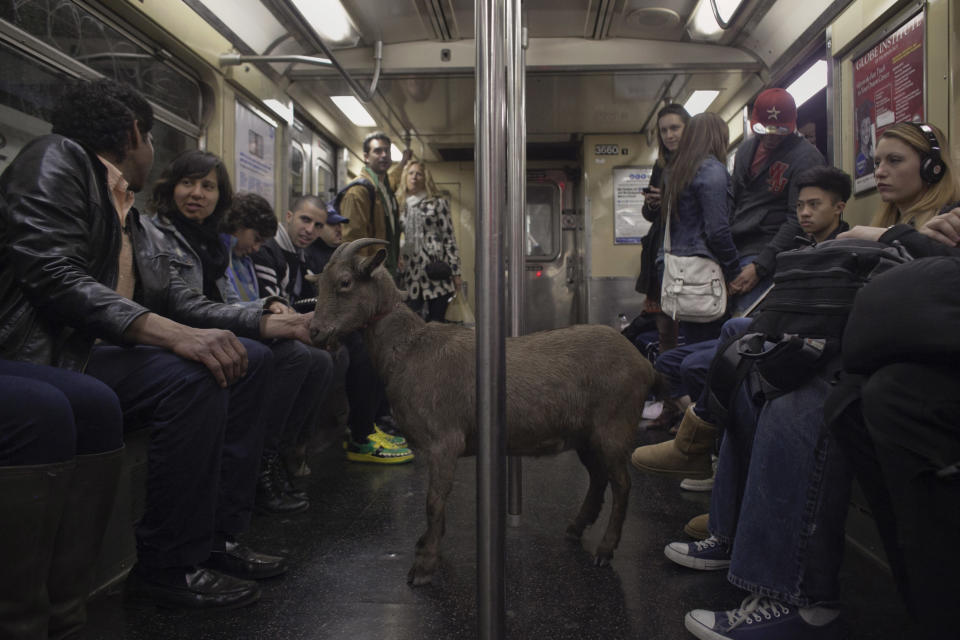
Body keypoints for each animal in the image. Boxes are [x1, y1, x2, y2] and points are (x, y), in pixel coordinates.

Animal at [310, 239, 660, 584]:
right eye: (320, 281)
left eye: (345, 282)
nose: (314, 331)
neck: (410, 349)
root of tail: (644, 364)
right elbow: (437, 502)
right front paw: (427, 545)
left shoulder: (443, 441)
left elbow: (433, 501)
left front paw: (424, 565)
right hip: (586, 435)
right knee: (599, 478)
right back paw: (576, 528)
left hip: (614, 427)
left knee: (622, 484)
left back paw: (605, 549)